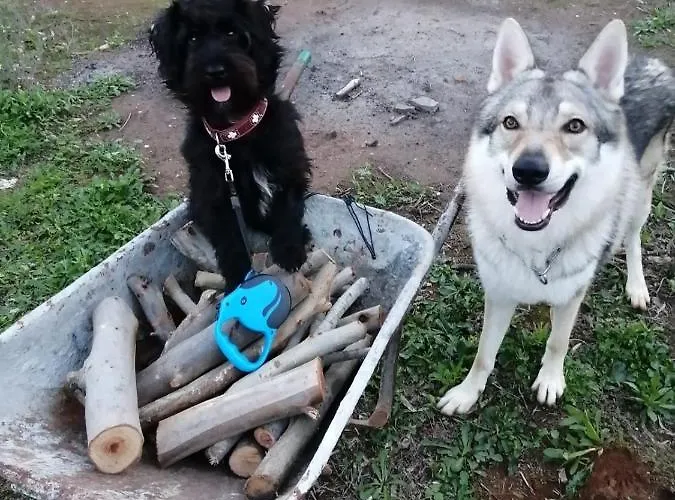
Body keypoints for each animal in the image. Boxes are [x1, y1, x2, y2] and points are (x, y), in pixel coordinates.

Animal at [438, 18, 675, 415]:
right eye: (510, 122)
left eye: (574, 126)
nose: (529, 170)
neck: (537, 245)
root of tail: (647, 62)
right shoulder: (499, 294)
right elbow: (484, 355)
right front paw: (467, 393)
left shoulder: (571, 297)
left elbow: (558, 342)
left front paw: (550, 380)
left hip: (640, 198)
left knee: (632, 238)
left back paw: (637, 286)